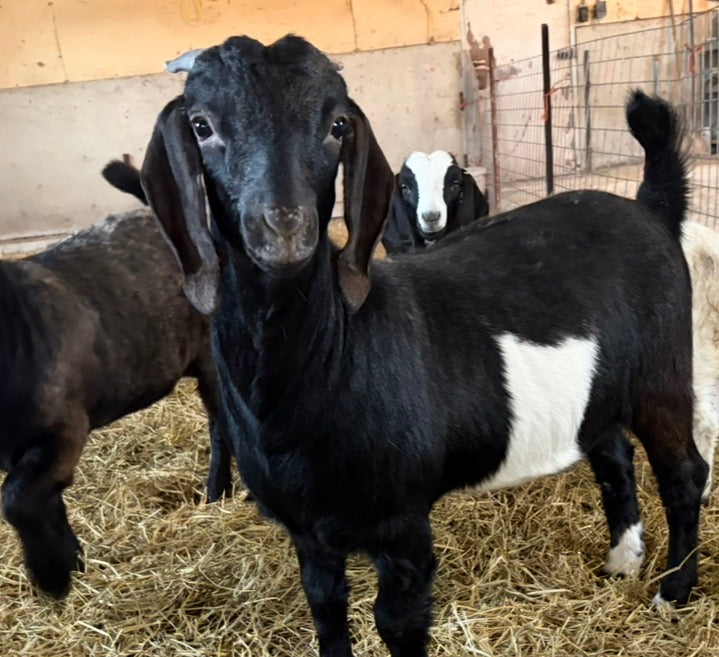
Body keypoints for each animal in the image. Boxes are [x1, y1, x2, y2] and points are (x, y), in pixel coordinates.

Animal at [0, 209, 232, 598]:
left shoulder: (65, 429)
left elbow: (17, 500)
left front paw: (53, 576)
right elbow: (46, 498)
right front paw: (72, 559)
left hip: (214, 360)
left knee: (222, 426)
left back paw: (218, 490)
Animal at [139, 34, 706, 657]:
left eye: (338, 124)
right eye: (200, 125)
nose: (284, 226)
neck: (334, 358)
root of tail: (648, 207)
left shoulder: (401, 522)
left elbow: (398, 622)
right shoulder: (307, 529)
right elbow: (325, 609)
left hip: (663, 371)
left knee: (684, 475)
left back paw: (673, 590)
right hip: (597, 389)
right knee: (614, 456)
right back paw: (622, 562)